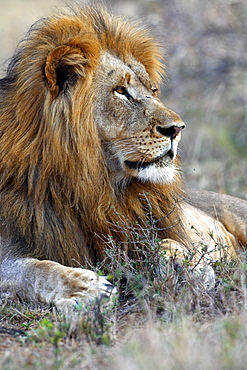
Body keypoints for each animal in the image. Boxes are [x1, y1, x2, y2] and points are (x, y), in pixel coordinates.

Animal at [0, 5, 246, 310]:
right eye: (121, 91)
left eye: (153, 91)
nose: (177, 129)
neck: (93, 188)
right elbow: (34, 270)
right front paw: (87, 288)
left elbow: (172, 246)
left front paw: (181, 264)